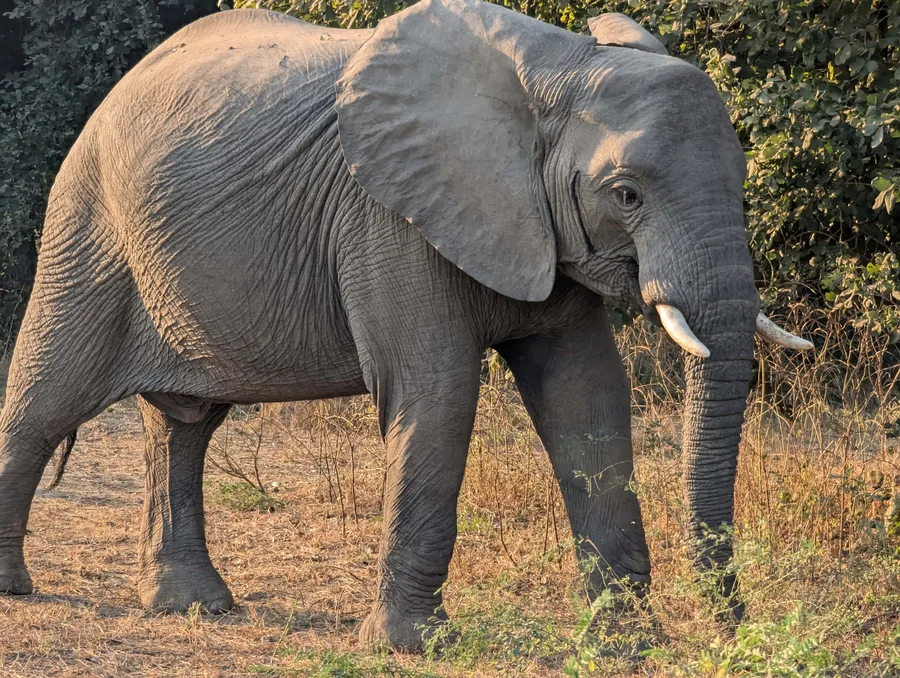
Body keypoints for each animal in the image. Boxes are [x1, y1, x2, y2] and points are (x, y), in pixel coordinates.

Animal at [0, 0, 812, 650]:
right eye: (627, 194)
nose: (735, 631)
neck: (558, 71)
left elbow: (586, 400)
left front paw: (628, 646)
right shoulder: (389, 221)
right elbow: (438, 394)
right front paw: (409, 647)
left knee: (184, 424)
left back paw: (192, 608)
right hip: (88, 224)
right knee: (45, 401)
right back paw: (19, 589)